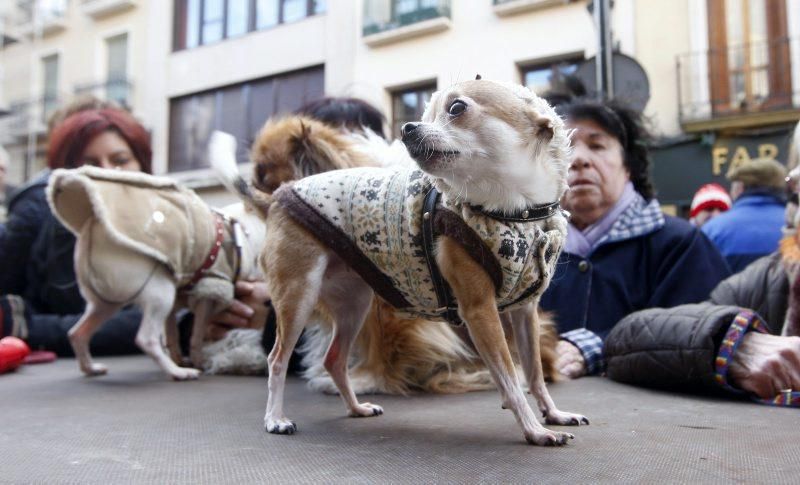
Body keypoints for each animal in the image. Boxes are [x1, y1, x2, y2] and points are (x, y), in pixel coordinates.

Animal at [260, 80, 588, 446]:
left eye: (457, 108)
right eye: (425, 113)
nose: (407, 127)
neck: (517, 212)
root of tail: (280, 194)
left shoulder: (524, 312)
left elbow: (534, 373)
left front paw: (554, 414)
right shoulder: (479, 311)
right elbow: (509, 377)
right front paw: (534, 429)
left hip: (354, 303)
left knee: (335, 359)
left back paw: (356, 408)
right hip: (298, 296)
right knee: (278, 359)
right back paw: (275, 418)